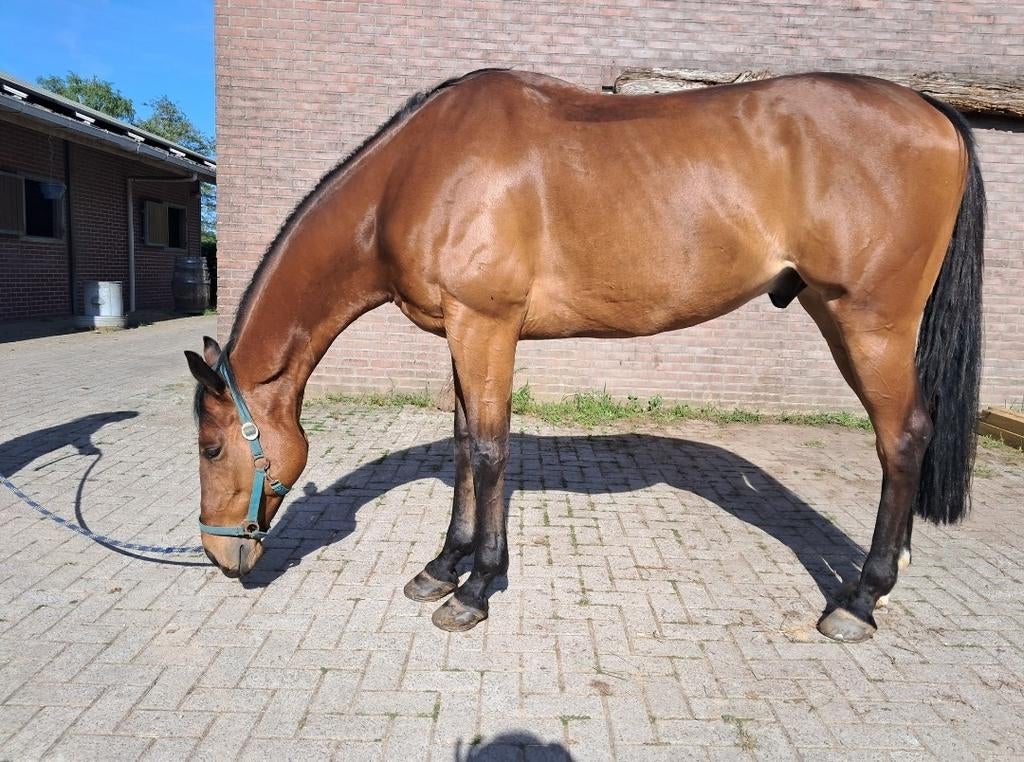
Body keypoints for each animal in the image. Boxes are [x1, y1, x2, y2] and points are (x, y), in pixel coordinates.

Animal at [186, 69, 984, 643]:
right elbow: (463, 443)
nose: (220, 558)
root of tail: (931, 110)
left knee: (902, 437)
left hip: (868, 323)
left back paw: (859, 599)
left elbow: (489, 450)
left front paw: (477, 588)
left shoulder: (486, 326)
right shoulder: (460, 333)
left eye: (211, 446)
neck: (415, 175)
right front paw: (443, 566)